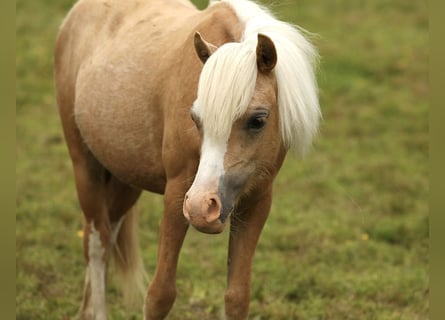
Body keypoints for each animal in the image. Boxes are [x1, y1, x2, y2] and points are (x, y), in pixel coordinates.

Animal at [54, 0, 320, 318]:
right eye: (195, 118)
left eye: (258, 120)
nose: (201, 207)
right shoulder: (177, 194)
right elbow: (160, 295)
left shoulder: (257, 200)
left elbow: (237, 297)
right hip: (86, 167)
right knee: (97, 245)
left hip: (125, 180)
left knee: (109, 233)